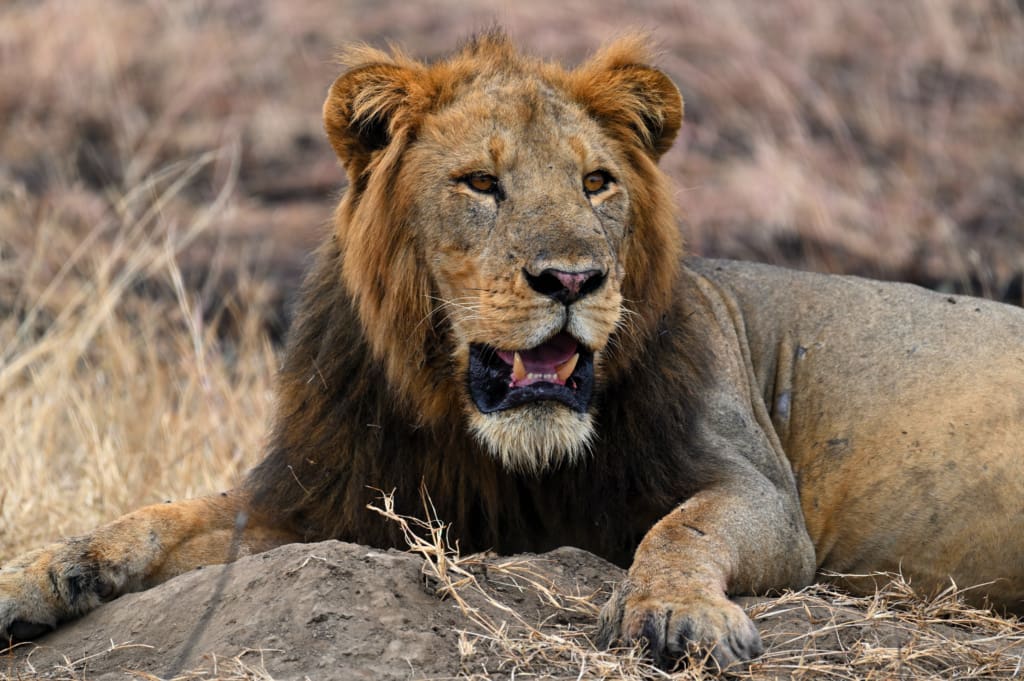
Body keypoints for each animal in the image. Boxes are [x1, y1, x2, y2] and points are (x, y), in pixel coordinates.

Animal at [2, 32, 1022, 671]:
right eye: (482, 183)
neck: (480, 439)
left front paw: (678, 614)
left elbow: (682, 529)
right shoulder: (322, 499)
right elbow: (163, 516)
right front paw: (40, 573)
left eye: (597, 182)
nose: (571, 278)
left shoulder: (761, 492)